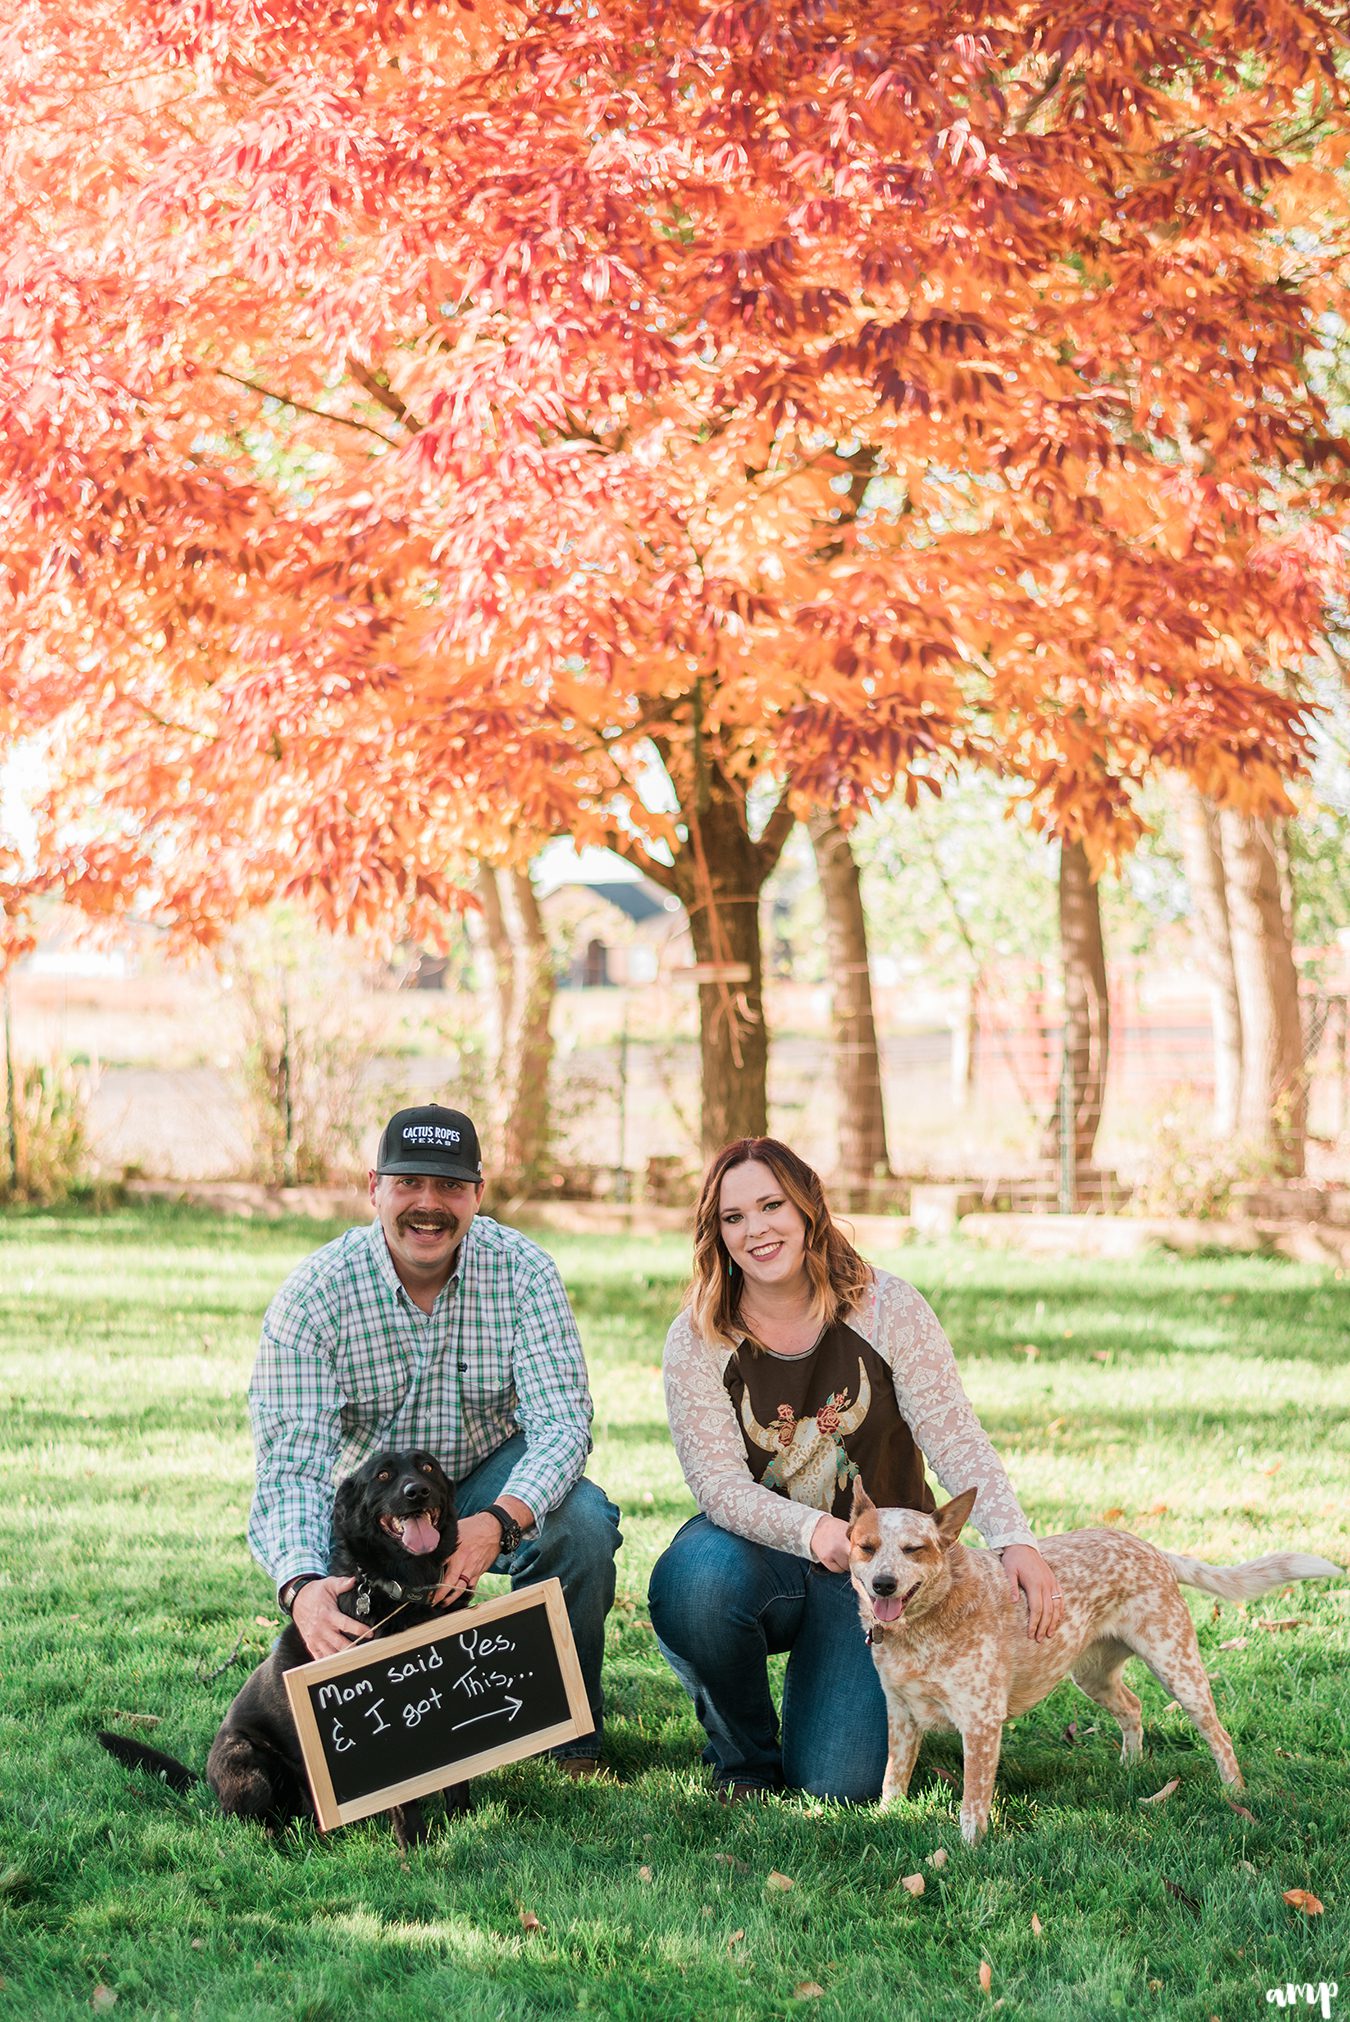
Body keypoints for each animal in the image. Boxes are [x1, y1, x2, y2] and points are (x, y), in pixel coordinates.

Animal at [99, 1455, 468, 1852]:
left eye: (427, 1467)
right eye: (383, 1475)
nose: (417, 1491)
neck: (406, 1587)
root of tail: (207, 1781)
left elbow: (458, 1777)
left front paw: (463, 1820)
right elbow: (404, 1797)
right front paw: (416, 1849)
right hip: (249, 1761)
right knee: (246, 1824)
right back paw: (285, 1838)